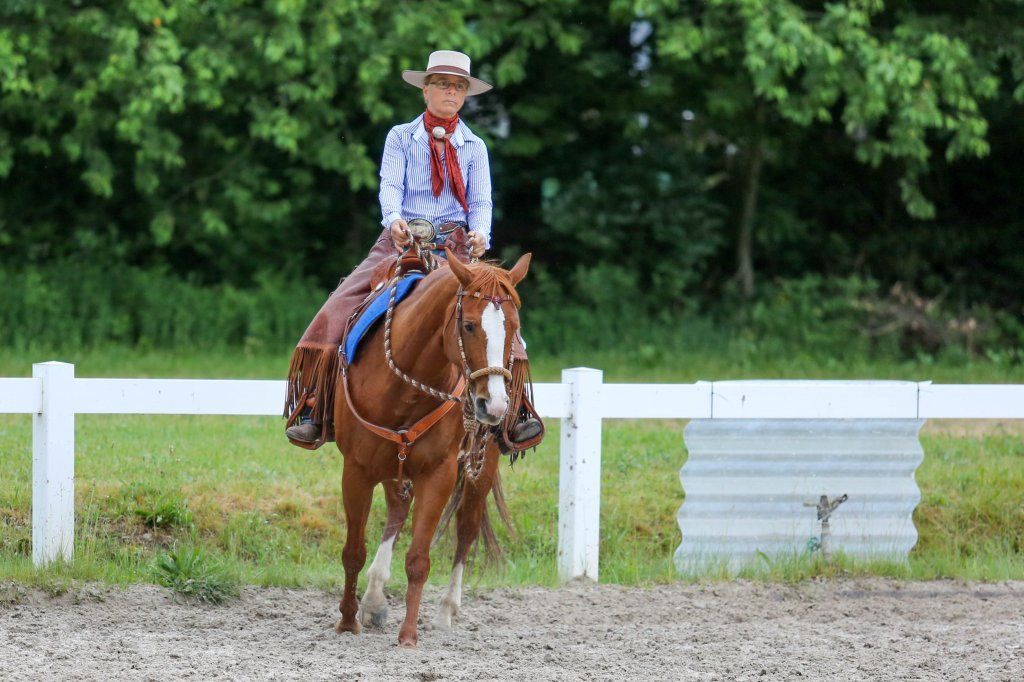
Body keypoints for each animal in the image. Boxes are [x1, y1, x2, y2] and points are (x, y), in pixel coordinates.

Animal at [332, 247, 531, 647]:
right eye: (468, 325)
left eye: (514, 328)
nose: (494, 405)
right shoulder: (357, 470)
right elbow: (353, 551)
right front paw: (347, 621)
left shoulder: (439, 473)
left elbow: (419, 560)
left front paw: (409, 635)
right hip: (393, 467)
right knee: (396, 512)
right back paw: (373, 600)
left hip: (481, 467)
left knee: (466, 529)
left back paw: (446, 610)